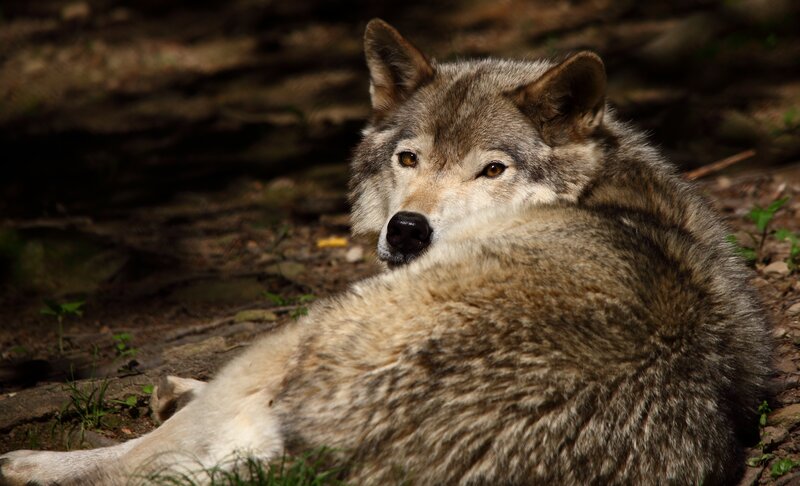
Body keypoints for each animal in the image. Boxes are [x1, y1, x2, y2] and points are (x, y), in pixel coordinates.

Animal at [0, 19, 772, 485]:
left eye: (492, 170)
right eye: (409, 158)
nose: (406, 230)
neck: (601, 189)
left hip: (296, 335)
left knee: (143, 458)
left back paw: (32, 461)